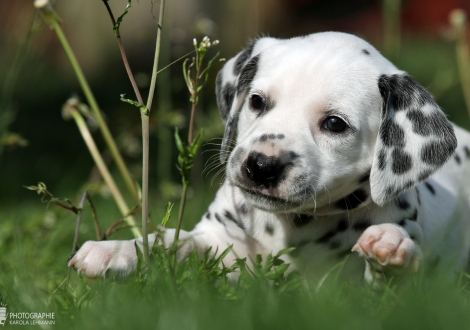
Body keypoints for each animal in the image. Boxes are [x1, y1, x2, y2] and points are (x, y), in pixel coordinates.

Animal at [69, 32, 470, 286]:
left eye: (334, 123)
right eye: (257, 101)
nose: (261, 166)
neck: (289, 226)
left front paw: (390, 250)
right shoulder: (218, 242)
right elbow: (172, 242)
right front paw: (117, 251)